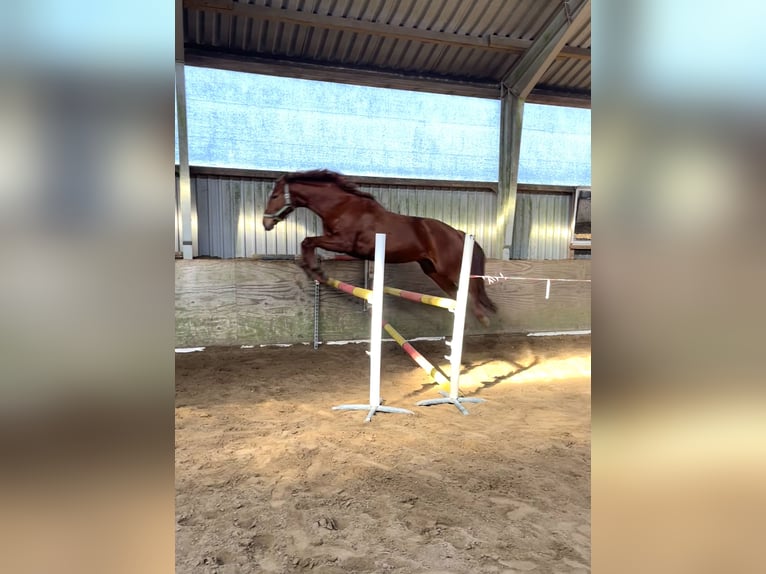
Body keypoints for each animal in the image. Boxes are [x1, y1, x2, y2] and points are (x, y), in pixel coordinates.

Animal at [262, 169, 497, 326]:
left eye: (274, 196)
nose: (266, 223)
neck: (342, 206)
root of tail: (458, 233)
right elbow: (308, 242)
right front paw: (312, 270)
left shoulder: (344, 243)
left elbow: (308, 240)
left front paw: (316, 271)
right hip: (433, 271)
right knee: (459, 294)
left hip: (451, 269)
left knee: (471, 292)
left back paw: (483, 319)